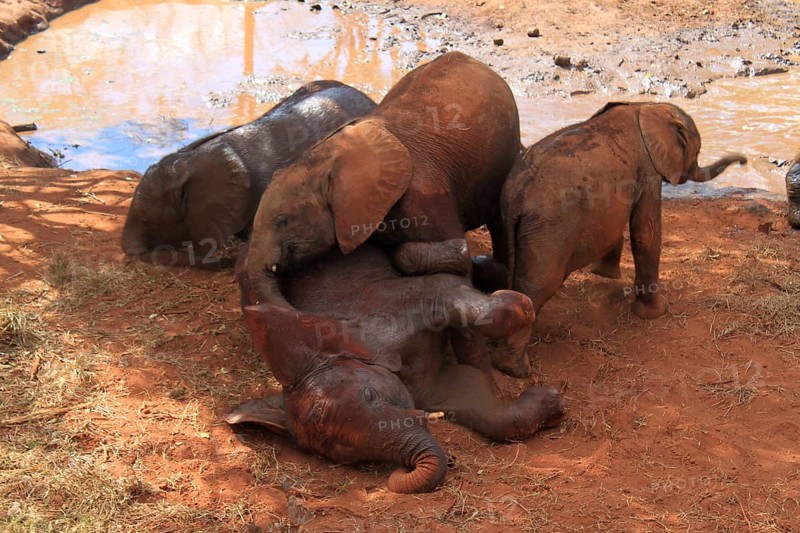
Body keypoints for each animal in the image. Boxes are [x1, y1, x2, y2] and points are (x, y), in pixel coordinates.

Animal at [226, 243, 565, 494]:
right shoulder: (424, 387)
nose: (402, 473)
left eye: (371, 396)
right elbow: (476, 402)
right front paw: (553, 403)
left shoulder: (398, 302)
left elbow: (446, 291)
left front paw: (522, 305)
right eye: (347, 454)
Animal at [489, 102, 747, 376]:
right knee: (536, 287)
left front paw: (606, 275)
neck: (643, 106)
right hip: (548, 232)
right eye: (696, 151)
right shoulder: (648, 169)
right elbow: (646, 232)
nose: (744, 161)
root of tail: (517, 197)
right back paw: (515, 369)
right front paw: (658, 311)